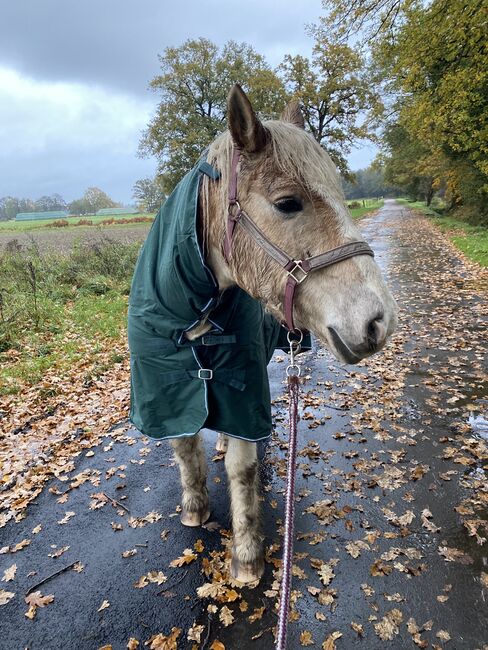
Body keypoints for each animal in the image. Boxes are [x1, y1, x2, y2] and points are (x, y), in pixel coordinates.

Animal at [128, 84, 397, 584]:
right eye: (288, 203)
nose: (379, 321)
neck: (196, 308)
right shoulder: (167, 389)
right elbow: (185, 448)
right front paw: (195, 508)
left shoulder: (244, 386)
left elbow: (242, 469)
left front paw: (247, 556)